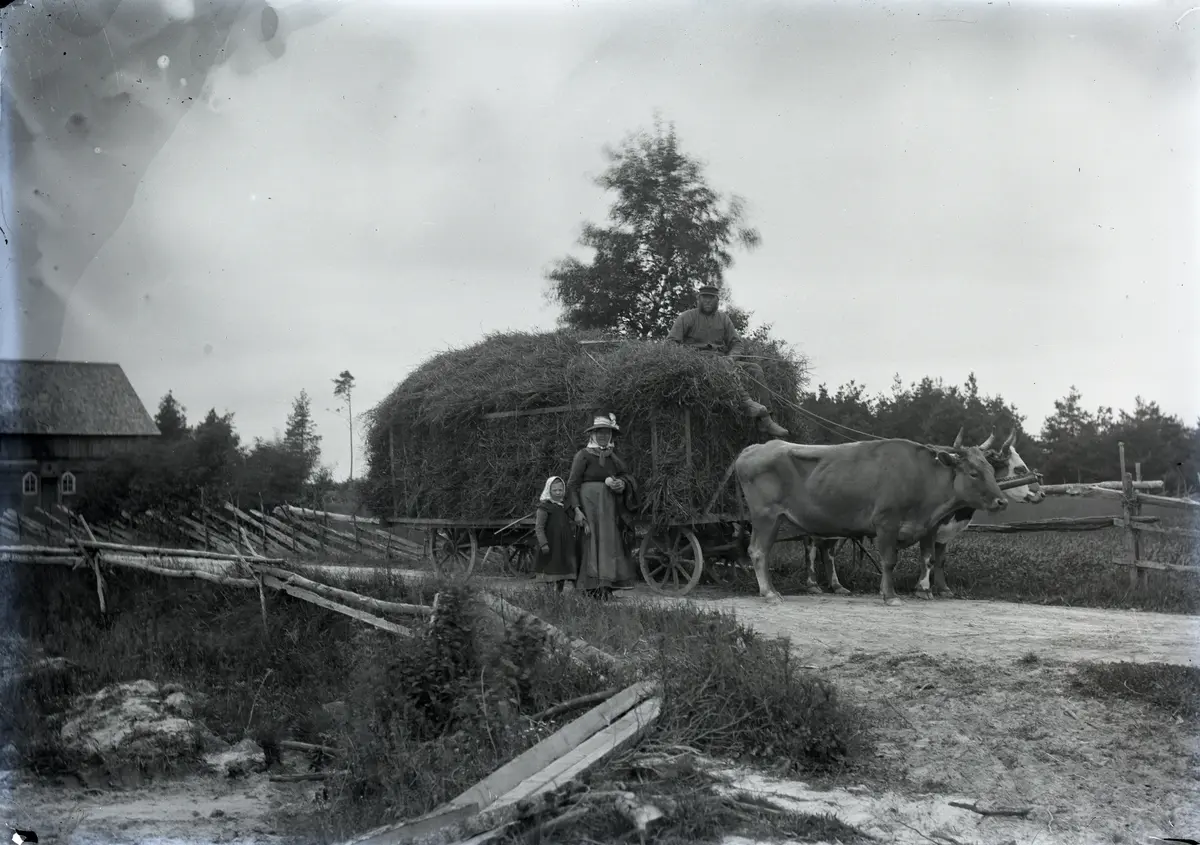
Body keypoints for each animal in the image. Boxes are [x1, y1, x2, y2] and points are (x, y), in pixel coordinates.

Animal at [734, 436, 1009, 606]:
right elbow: (889, 561)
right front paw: (890, 595)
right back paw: (770, 593)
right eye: (973, 473)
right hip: (767, 516)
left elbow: (928, 558)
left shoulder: (927, 527)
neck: (921, 476)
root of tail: (755, 447)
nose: (1002, 502)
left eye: (991, 470)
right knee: (758, 551)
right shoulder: (886, 523)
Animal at [799, 429, 1044, 599]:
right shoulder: (929, 527)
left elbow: (940, 559)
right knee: (815, 549)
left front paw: (943, 589)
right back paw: (815, 584)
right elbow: (927, 557)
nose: (1040, 492)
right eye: (1018, 469)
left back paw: (835, 586)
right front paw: (924, 588)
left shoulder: (944, 532)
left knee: (826, 551)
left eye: (993, 471)